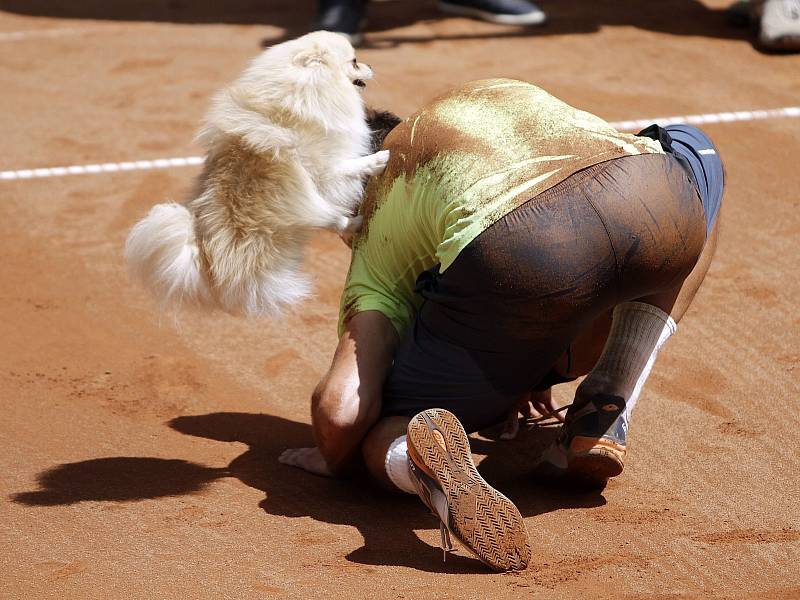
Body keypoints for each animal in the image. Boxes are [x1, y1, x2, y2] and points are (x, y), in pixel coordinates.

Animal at [124, 32, 388, 316]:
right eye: (354, 61)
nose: (371, 65)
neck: (312, 89)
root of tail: (208, 253)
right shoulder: (324, 167)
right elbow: (351, 166)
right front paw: (379, 159)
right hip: (303, 206)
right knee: (333, 219)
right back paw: (356, 224)